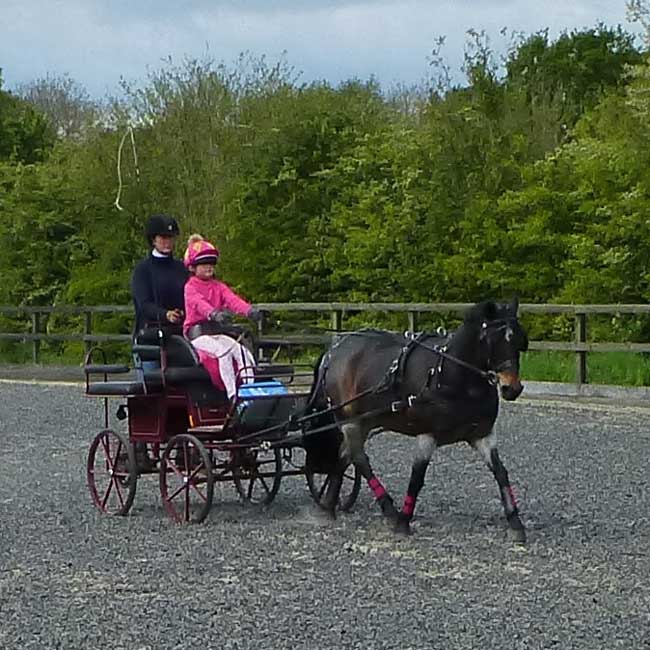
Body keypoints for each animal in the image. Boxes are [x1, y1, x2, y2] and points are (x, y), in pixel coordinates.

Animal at [304, 298, 528, 540]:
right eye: (494, 341)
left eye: (518, 341)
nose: (512, 388)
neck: (451, 374)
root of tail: (334, 350)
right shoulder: (427, 435)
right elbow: (417, 477)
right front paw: (403, 521)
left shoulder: (482, 435)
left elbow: (501, 473)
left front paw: (516, 523)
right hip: (349, 420)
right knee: (359, 459)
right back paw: (389, 511)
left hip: (366, 421)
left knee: (345, 455)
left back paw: (328, 505)